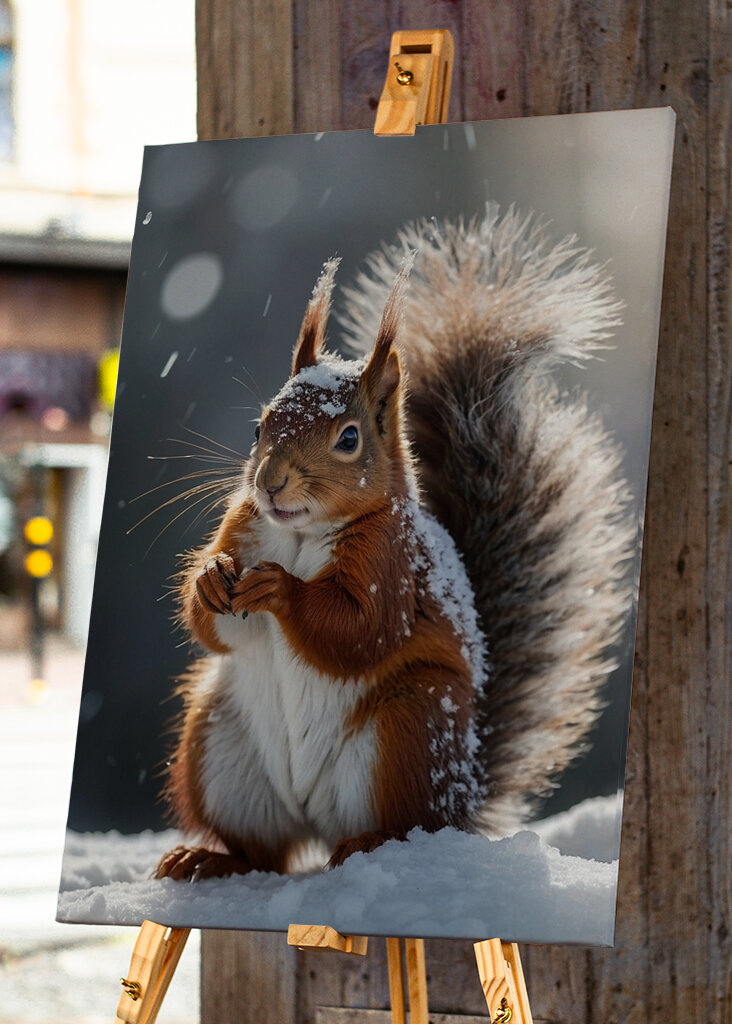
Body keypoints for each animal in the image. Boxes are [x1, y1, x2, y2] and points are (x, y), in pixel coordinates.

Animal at [155, 202, 634, 882]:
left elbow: (360, 630)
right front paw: (210, 579)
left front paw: (280, 590)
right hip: (218, 740)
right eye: (259, 425)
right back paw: (210, 858)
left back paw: (364, 844)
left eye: (349, 438)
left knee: (403, 828)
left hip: (408, 731)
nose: (269, 482)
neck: (298, 532)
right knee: (263, 852)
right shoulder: (244, 524)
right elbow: (216, 629)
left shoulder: (391, 561)